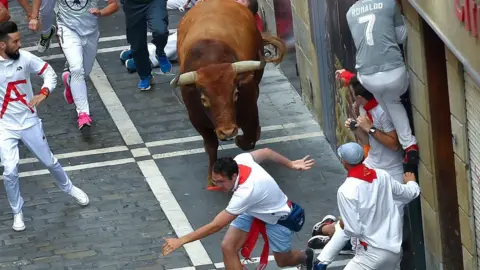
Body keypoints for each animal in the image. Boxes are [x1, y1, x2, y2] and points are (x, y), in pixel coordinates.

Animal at [171, 0, 284, 190]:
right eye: (203, 99)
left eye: (236, 94)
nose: (228, 131)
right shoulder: (196, 119)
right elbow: (211, 145)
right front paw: (212, 176)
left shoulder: (249, 108)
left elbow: (250, 136)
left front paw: (241, 139)